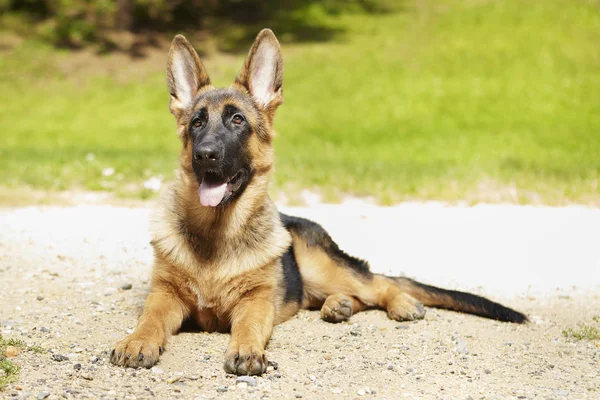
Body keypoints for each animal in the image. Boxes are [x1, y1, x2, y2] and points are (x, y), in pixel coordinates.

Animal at [110, 29, 528, 376]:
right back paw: (336, 307)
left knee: (377, 284)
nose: (206, 155)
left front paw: (246, 349)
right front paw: (136, 341)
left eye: (237, 120)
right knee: (354, 296)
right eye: (197, 123)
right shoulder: (164, 295)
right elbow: (149, 319)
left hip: (321, 266)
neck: (216, 234)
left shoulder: (257, 301)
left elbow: (248, 324)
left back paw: (400, 303)